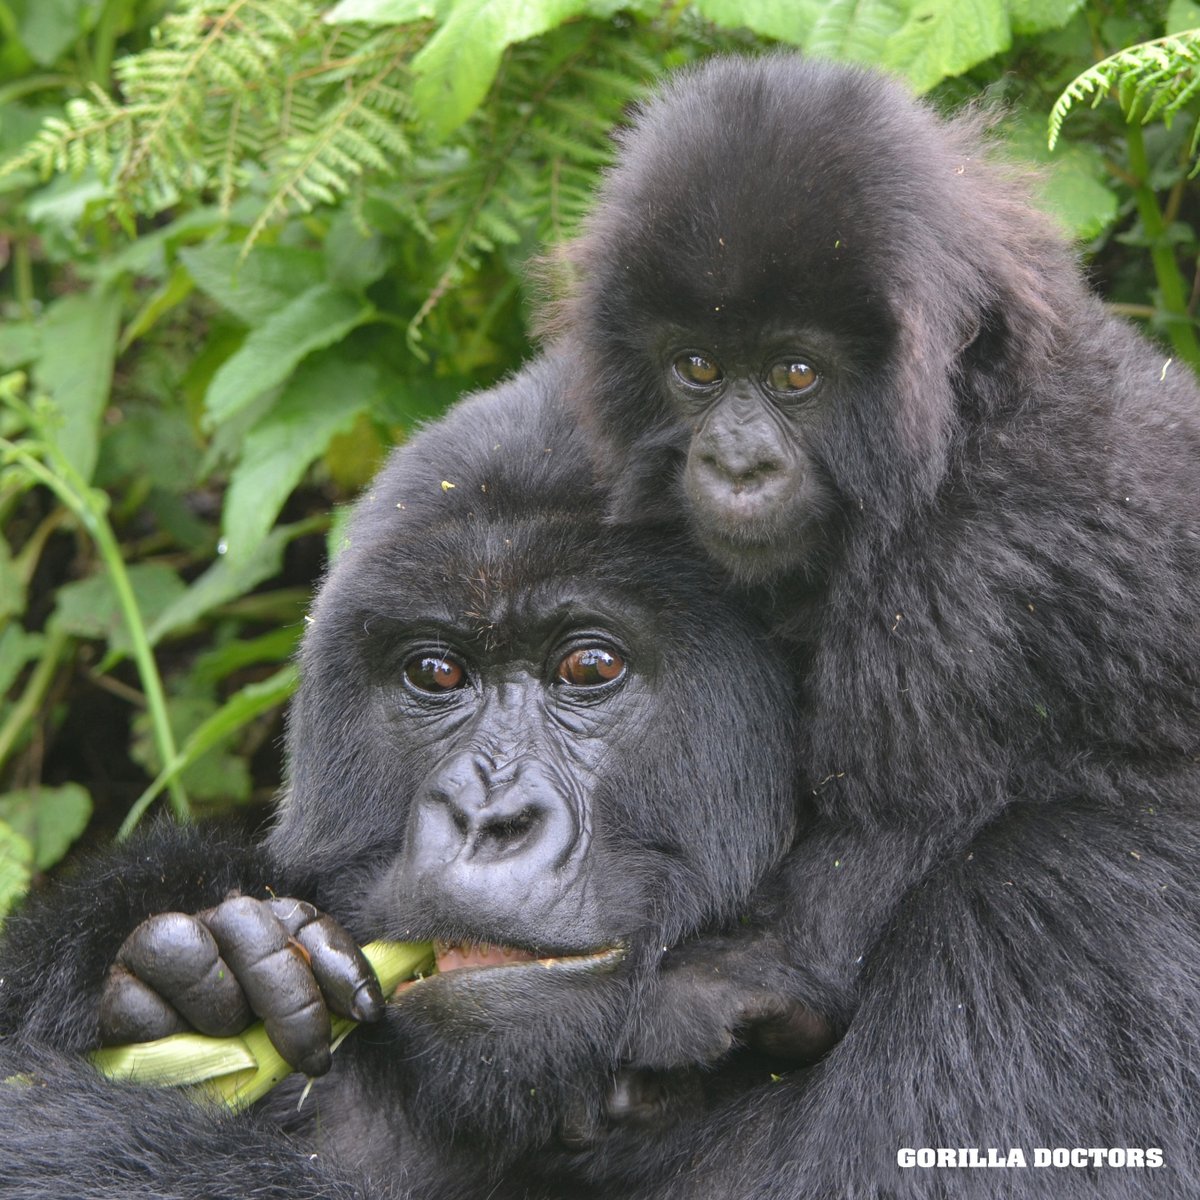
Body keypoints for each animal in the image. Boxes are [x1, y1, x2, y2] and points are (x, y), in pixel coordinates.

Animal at [549, 54, 1200, 1190]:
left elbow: (876, 865)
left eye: (796, 374)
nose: (737, 464)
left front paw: (699, 1002)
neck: (959, 429)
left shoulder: (963, 574)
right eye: (698, 368)